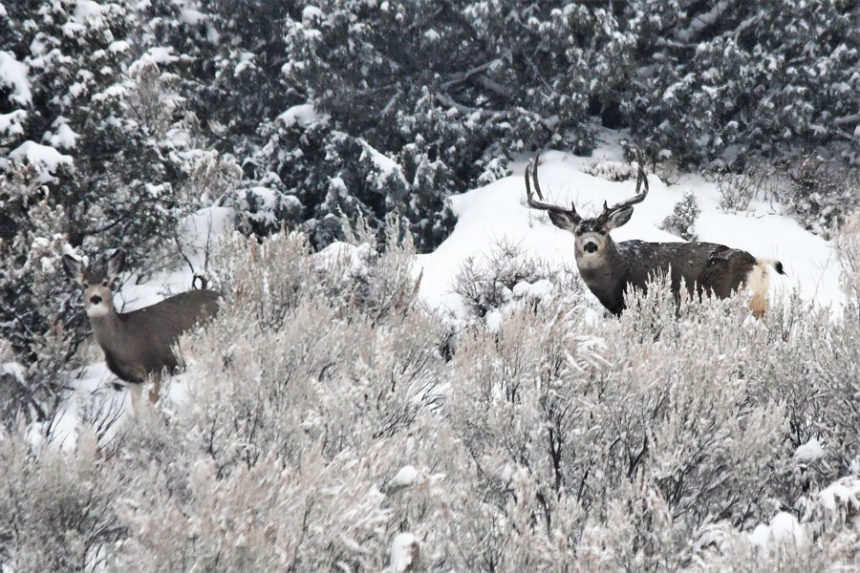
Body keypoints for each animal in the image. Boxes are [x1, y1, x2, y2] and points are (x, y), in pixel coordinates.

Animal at [63, 250, 220, 412]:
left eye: (105, 282)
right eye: (85, 285)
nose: (95, 298)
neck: (123, 340)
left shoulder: (154, 367)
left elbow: (155, 405)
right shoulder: (133, 379)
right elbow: (138, 410)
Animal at [524, 151, 785, 317]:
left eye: (602, 230)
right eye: (578, 231)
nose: (590, 245)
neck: (617, 275)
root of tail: (757, 264)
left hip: (725, 296)